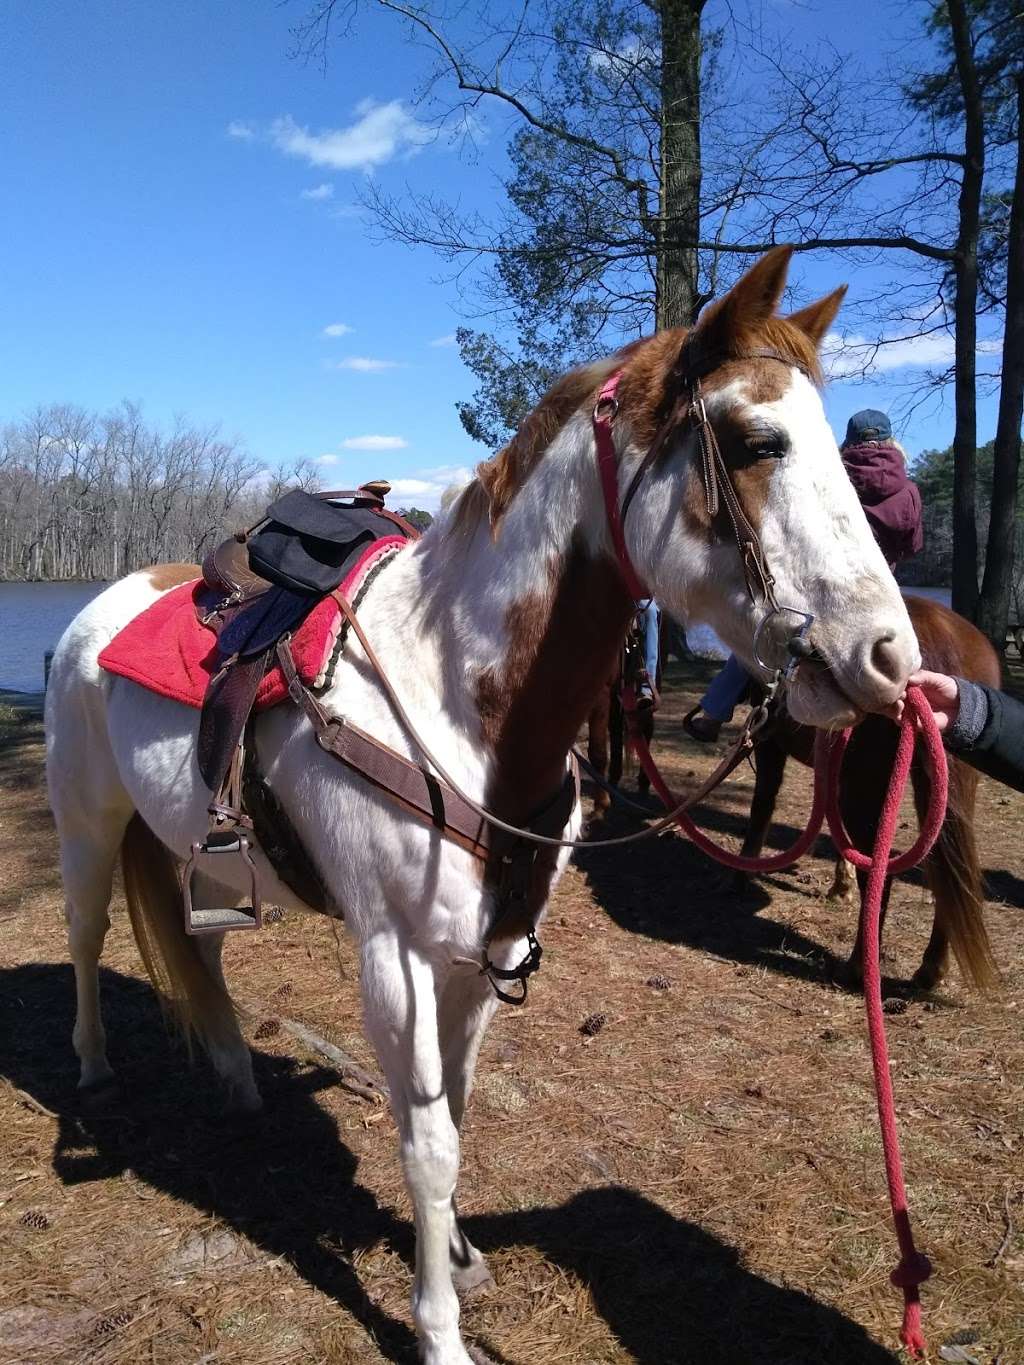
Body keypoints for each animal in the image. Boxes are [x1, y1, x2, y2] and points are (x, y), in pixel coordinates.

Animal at [46, 248, 922, 1365]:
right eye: (754, 440)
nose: (890, 658)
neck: (460, 702)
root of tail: (98, 608)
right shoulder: (397, 963)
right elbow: (426, 1143)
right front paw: (439, 1330)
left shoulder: (484, 950)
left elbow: (457, 1119)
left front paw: (459, 1254)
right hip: (86, 824)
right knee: (83, 935)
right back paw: (93, 1067)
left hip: (202, 850)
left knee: (201, 951)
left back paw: (239, 1078)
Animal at [742, 597, 1004, 993]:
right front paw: (840, 886)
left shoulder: (770, 742)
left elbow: (762, 804)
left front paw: (744, 870)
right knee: (947, 873)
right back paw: (931, 969)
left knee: (881, 870)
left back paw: (857, 967)